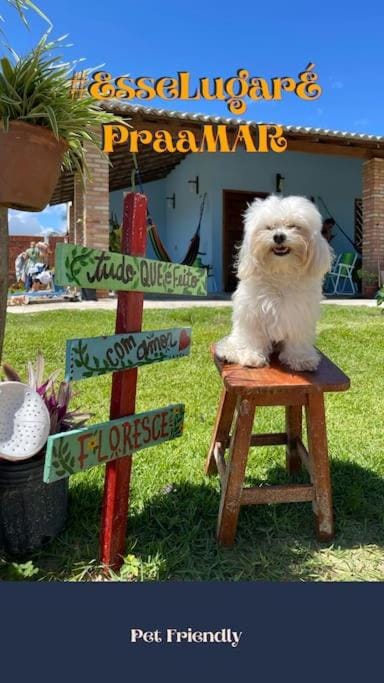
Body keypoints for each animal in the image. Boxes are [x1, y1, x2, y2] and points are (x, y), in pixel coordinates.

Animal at [216, 192, 332, 374]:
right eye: (269, 227)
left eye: (293, 226)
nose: (278, 236)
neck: (281, 272)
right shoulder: (253, 314)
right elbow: (253, 337)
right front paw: (252, 356)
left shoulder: (299, 315)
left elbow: (298, 339)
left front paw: (301, 359)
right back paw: (230, 352)